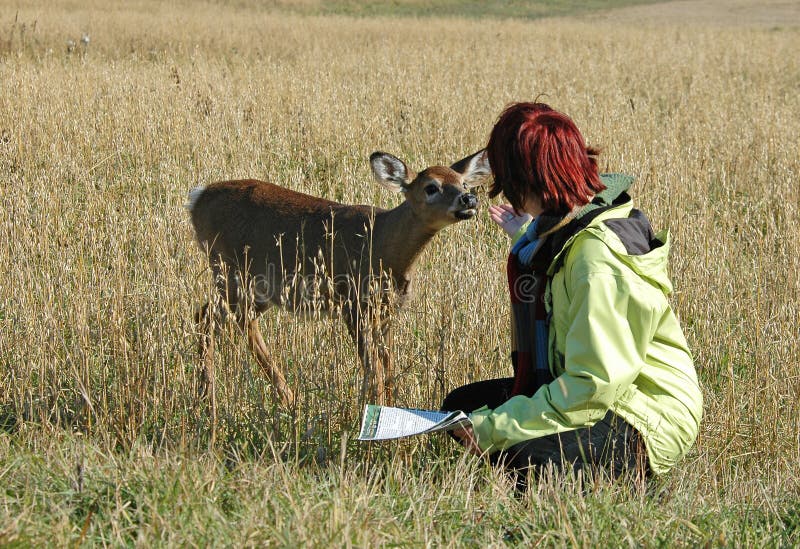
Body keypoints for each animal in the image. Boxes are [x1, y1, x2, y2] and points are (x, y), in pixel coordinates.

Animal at [188, 148, 490, 414]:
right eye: (431, 187)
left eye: (463, 182)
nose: (468, 199)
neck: (382, 244)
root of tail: (197, 199)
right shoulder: (352, 303)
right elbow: (373, 367)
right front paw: (375, 411)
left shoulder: (388, 310)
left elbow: (388, 364)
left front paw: (393, 409)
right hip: (230, 271)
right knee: (206, 317)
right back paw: (209, 399)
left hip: (258, 288)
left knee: (232, 321)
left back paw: (283, 398)